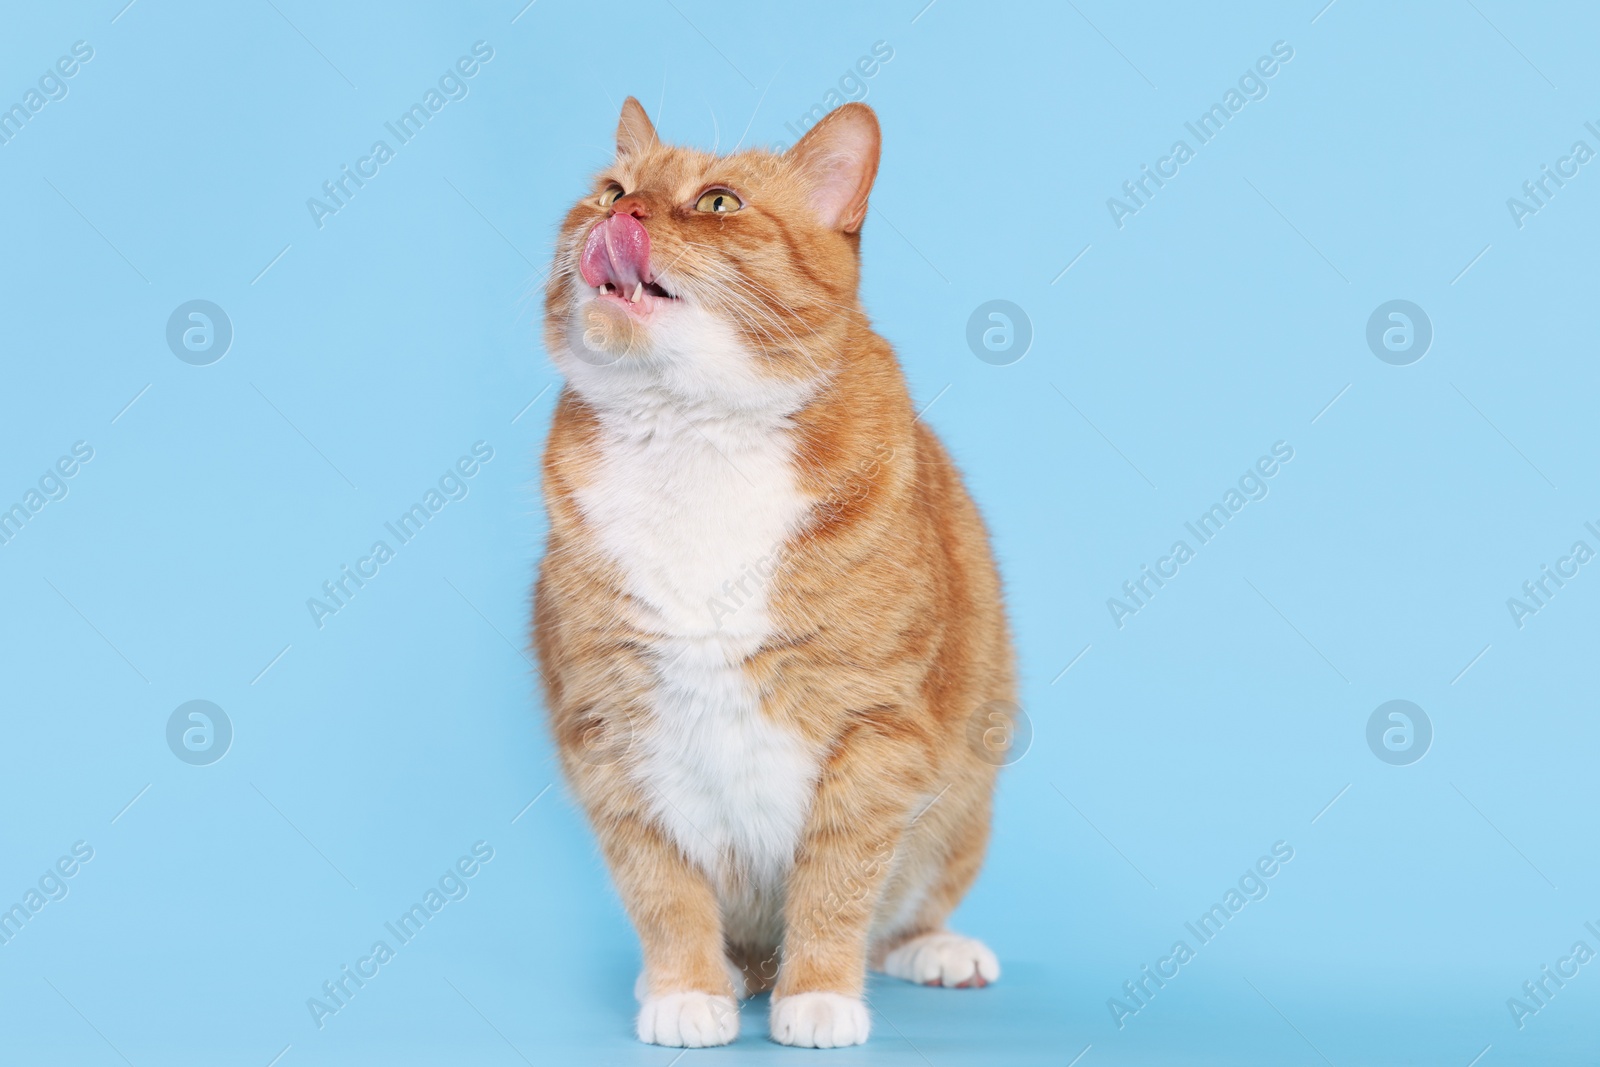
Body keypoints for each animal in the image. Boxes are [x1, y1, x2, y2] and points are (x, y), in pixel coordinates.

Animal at [534, 95, 1011, 1049]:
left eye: (718, 202)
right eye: (608, 189)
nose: (622, 212)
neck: (693, 439)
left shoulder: (875, 727)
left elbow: (837, 878)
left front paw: (819, 993)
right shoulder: (610, 726)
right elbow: (662, 883)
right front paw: (684, 987)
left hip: (965, 792)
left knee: (907, 904)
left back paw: (933, 949)